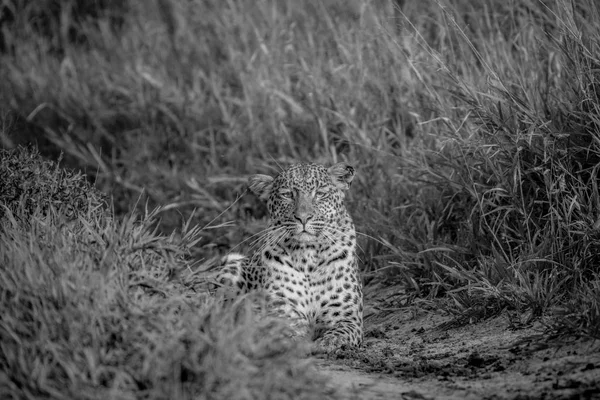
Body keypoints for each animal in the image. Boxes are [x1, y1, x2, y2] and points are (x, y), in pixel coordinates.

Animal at [214, 161, 360, 352]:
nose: (303, 218)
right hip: (228, 275)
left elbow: (341, 333)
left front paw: (326, 343)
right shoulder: (282, 313)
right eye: (287, 195)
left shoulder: (347, 317)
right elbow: (281, 330)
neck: (308, 256)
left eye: (320, 194)